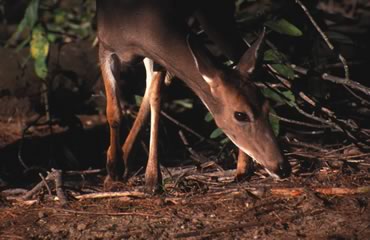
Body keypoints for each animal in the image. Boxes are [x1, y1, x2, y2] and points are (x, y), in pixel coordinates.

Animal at [96, 0, 292, 191]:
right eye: (240, 114)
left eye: (267, 107)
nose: (282, 168)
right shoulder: (104, 46)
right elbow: (114, 111)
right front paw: (114, 168)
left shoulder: (158, 56)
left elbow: (155, 99)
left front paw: (151, 179)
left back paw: (242, 170)